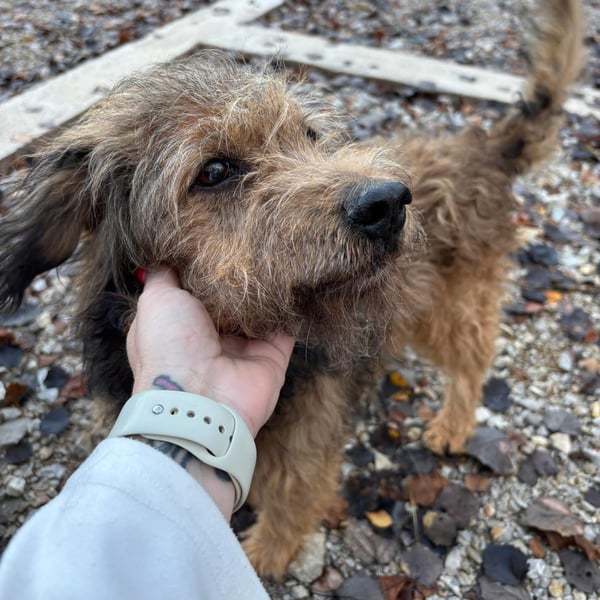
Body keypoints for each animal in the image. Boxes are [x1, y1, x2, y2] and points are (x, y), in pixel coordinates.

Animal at [0, 0, 583, 578]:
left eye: (309, 136)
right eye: (214, 170)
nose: (388, 203)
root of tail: (480, 146)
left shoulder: (307, 447)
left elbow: (289, 508)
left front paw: (260, 558)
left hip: (451, 307)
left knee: (474, 361)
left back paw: (454, 423)